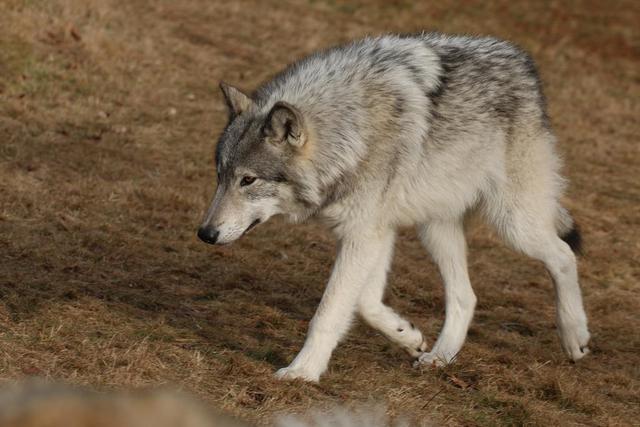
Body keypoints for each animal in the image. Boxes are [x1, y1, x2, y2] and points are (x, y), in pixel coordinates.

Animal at [199, 32, 592, 382]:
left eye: (248, 180)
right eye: (219, 175)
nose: (205, 233)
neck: (349, 131)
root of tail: (522, 61)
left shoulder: (365, 234)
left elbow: (328, 313)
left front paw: (303, 372)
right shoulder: (374, 233)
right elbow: (364, 303)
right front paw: (409, 336)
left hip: (512, 224)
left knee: (563, 256)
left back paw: (575, 337)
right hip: (434, 229)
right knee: (466, 296)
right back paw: (440, 357)